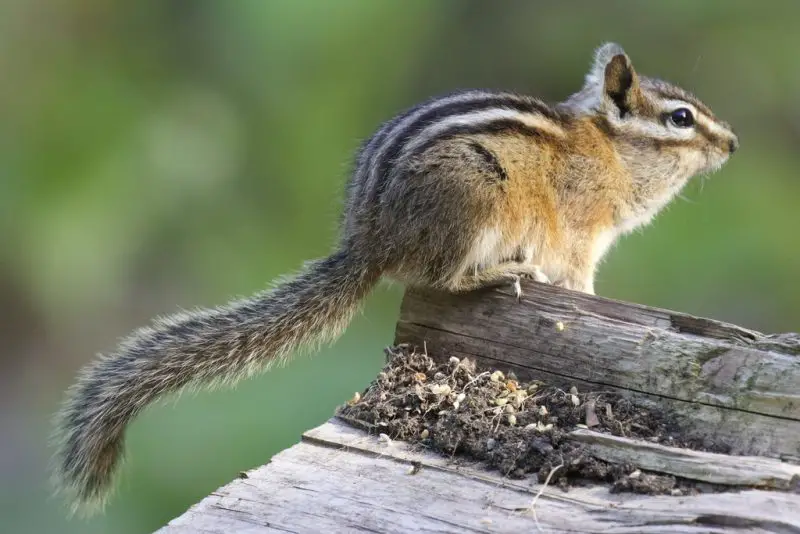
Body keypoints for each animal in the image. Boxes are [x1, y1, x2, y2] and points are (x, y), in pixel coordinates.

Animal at [52, 43, 738, 515]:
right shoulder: (579, 232)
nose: (732, 143)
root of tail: (371, 240)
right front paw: (589, 301)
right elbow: (578, 276)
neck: (610, 148)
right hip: (473, 203)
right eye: (681, 118)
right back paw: (504, 269)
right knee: (444, 278)